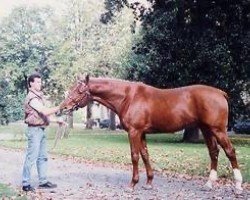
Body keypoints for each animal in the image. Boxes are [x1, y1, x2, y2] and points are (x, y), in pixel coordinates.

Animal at [59, 74, 243, 192]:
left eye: (79, 91)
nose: (63, 107)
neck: (128, 96)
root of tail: (220, 93)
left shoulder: (134, 132)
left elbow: (134, 156)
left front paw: (132, 185)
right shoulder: (142, 133)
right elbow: (145, 155)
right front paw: (148, 183)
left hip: (218, 130)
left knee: (230, 151)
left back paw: (238, 186)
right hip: (206, 130)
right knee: (214, 152)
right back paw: (209, 184)